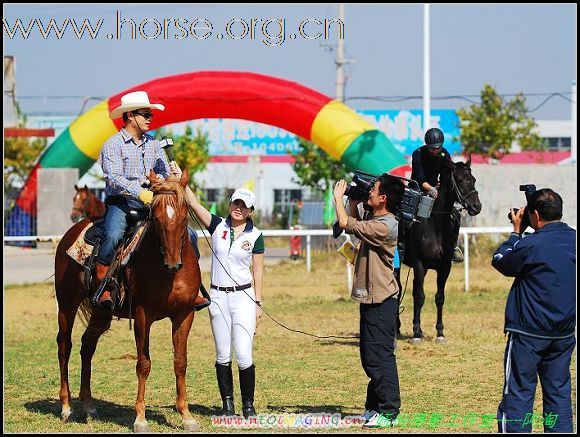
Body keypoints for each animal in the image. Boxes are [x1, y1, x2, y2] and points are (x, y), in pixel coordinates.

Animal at [56, 169, 202, 430]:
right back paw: (66, 407)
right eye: (155, 218)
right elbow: (143, 364)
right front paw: (140, 419)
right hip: (66, 304)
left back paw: (88, 406)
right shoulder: (143, 315)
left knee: (87, 346)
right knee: (65, 346)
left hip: (101, 311)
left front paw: (186, 415)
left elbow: (180, 362)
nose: (173, 263)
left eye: (184, 217)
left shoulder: (185, 314)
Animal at [398, 158, 480, 342]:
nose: (476, 207)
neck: (434, 224)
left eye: (473, 179)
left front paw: (440, 332)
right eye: (460, 179)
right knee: (399, 290)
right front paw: (416, 334)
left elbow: (439, 298)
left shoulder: (444, 267)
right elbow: (420, 296)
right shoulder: (419, 264)